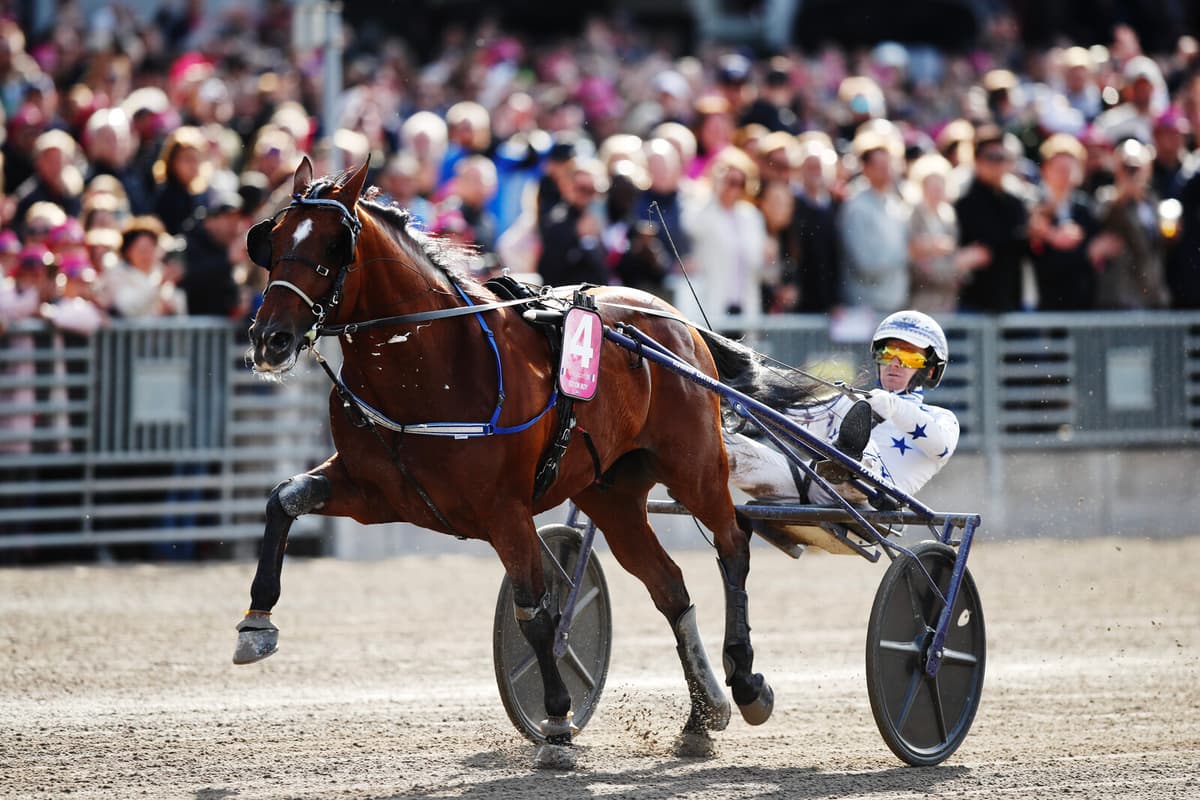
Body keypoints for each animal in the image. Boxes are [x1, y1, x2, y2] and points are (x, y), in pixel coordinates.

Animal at [236, 156, 776, 761]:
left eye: (334, 244)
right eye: (273, 238)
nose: (270, 338)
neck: (426, 367)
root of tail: (671, 317)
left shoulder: (504, 511)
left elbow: (535, 613)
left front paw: (558, 722)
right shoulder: (373, 492)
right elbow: (281, 500)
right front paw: (256, 624)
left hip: (694, 466)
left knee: (733, 546)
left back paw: (745, 683)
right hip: (611, 495)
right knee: (670, 587)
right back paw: (702, 715)